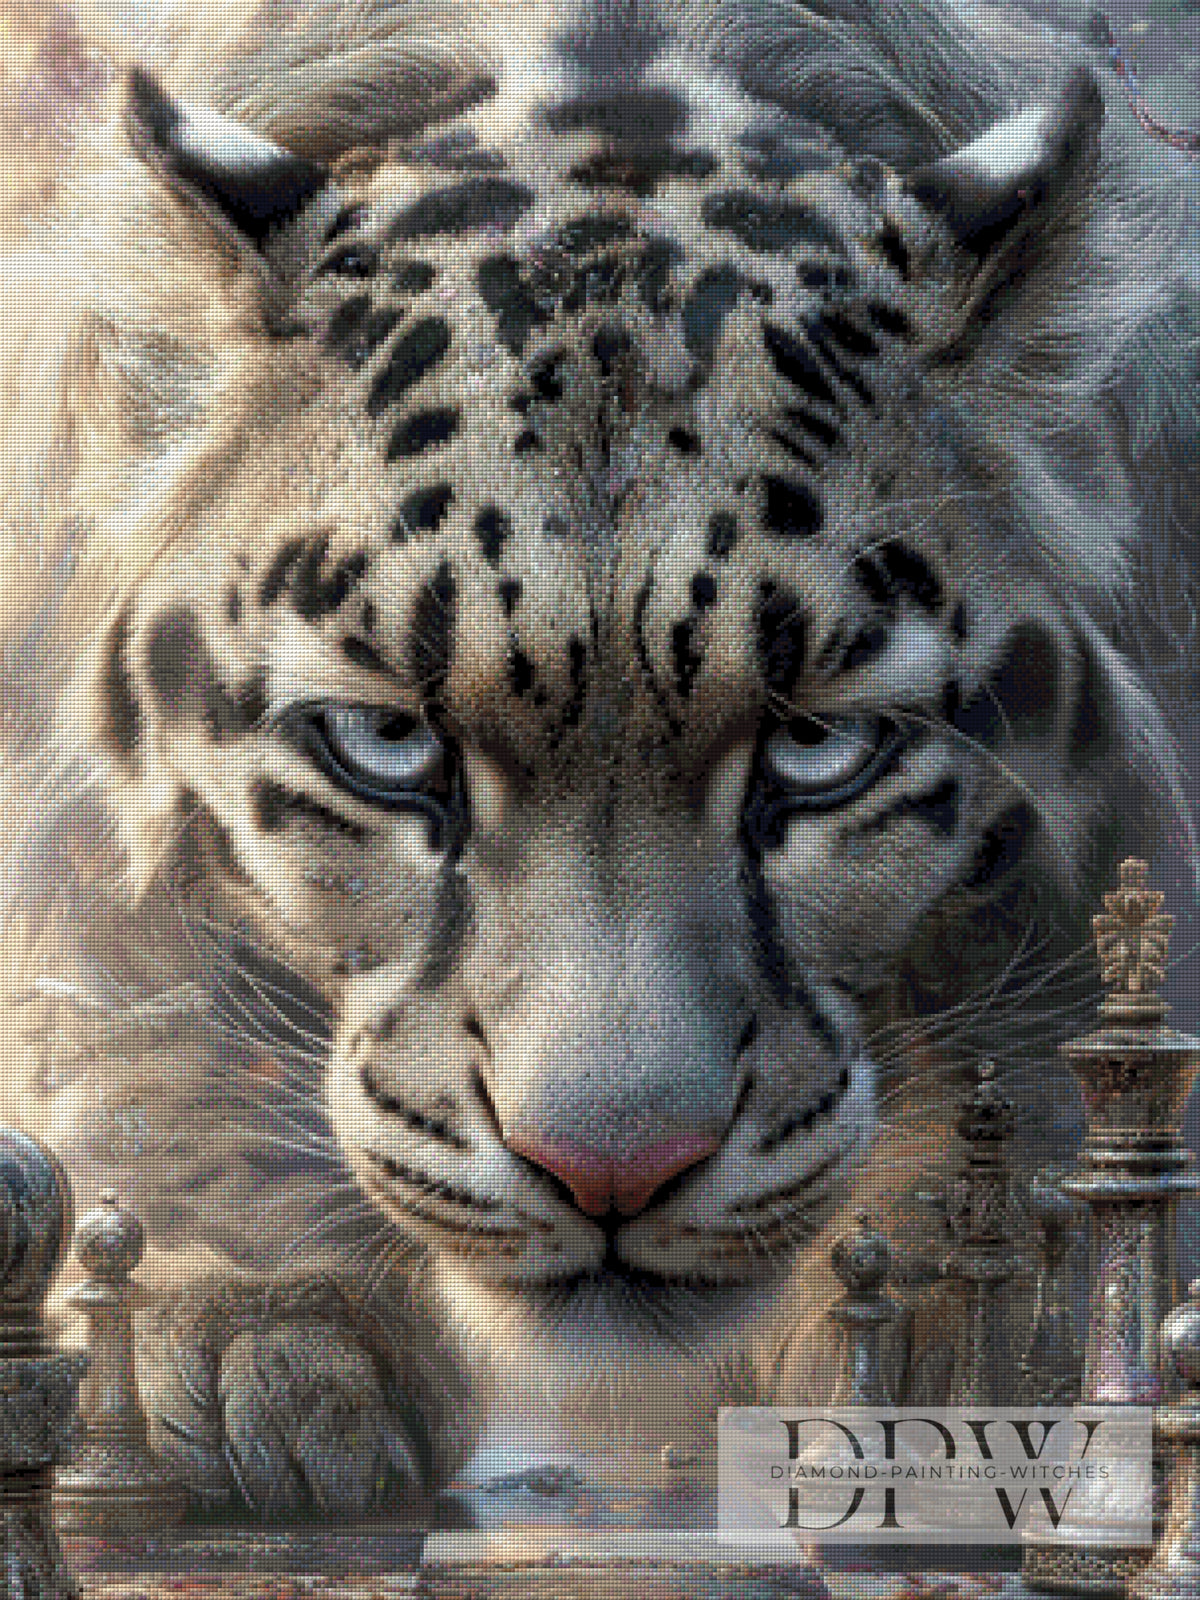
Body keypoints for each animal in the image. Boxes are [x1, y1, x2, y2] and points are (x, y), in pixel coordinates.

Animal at [0, 0, 1196, 1519]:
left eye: (817, 748)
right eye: (387, 742)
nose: (612, 1173)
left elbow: (1042, 1004)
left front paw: (967, 1327)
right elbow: (133, 992)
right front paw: (251, 1324)